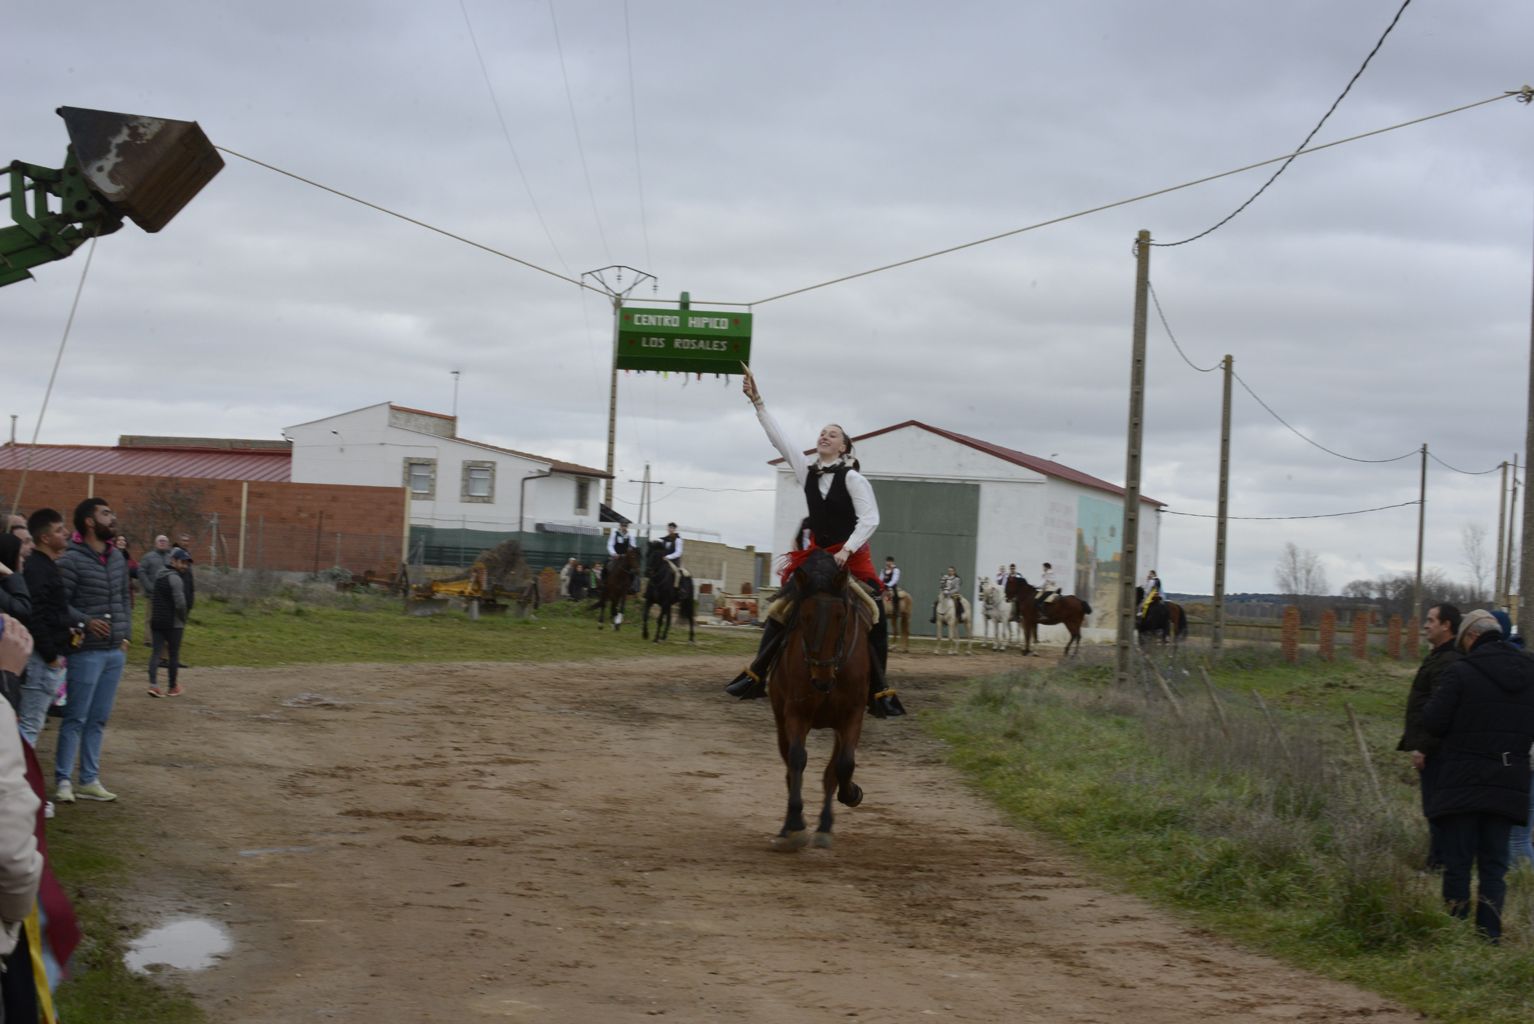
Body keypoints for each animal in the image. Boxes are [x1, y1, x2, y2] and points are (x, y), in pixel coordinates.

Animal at [767, 548, 877, 852]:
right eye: (803, 616)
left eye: (841, 616)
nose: (821, 678)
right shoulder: (795, 714)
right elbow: (796, 761)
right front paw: (794, 824)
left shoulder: (851, 716)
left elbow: (843, 765)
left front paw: (852, 794)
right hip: (780, 718)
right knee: (790, 767)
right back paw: (787, 829)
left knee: (832, 770)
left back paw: (825, 826)